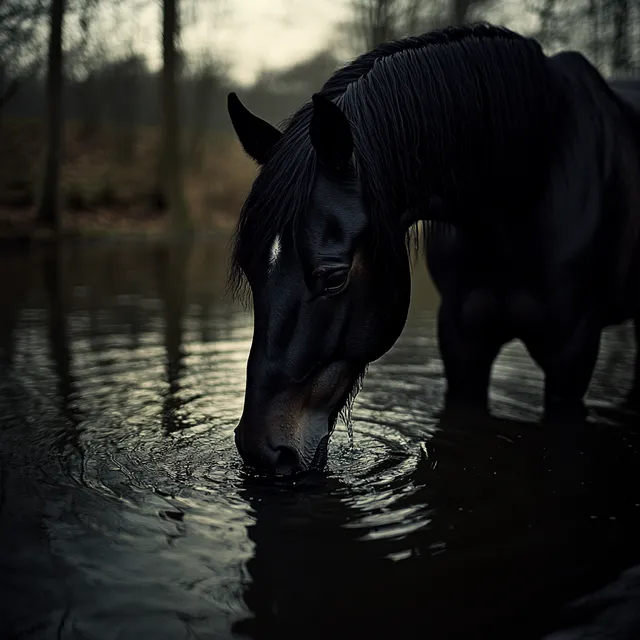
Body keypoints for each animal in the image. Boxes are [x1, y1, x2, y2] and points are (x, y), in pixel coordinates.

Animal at [226, 23, 640, 476]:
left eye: (334, 277)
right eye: (249, 267)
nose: (260, 451)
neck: (531, 180)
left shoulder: (571, 355)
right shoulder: (461, 341)